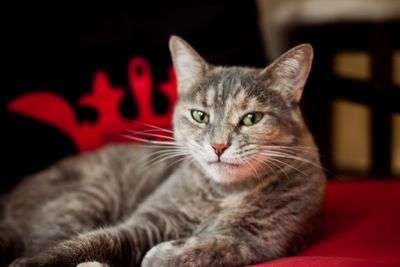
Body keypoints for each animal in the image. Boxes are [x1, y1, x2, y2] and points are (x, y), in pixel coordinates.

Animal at [0, 36, 324, 267]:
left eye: (252, 118)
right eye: (200, 116)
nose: (219, 146)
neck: (223, 194)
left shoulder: (262, 239)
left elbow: (216, 246)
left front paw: (161, 254)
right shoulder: (149, 220)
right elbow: (95, 240)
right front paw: (35, 262)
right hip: (84, 198)